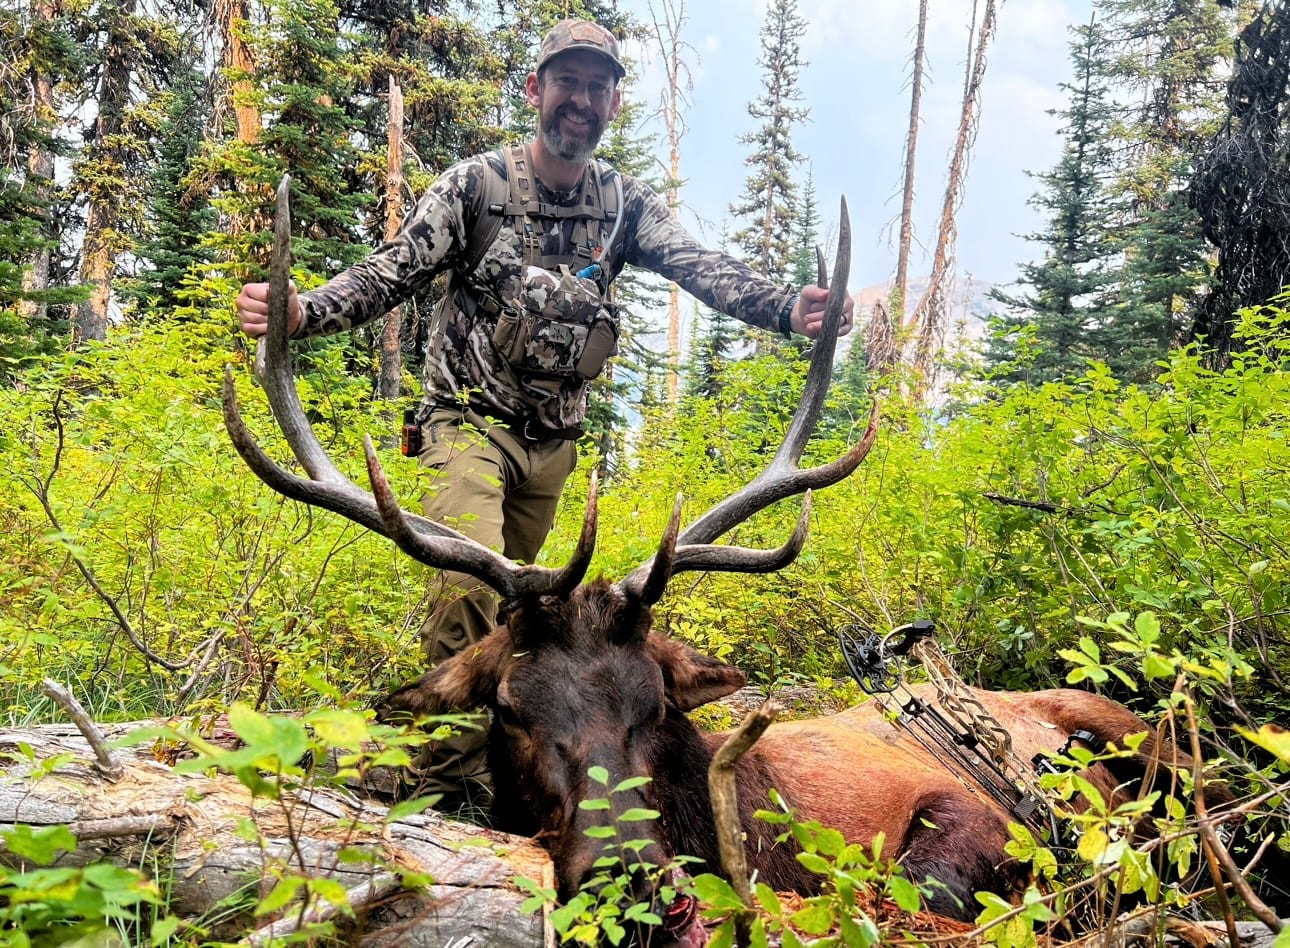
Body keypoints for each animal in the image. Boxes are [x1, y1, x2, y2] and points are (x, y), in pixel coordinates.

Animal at [223, 180, 1230, 946]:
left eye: (657, 706)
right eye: (508, 708)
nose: (629, 876)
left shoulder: (960, 813)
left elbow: (913, 893)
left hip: (1153, 742)